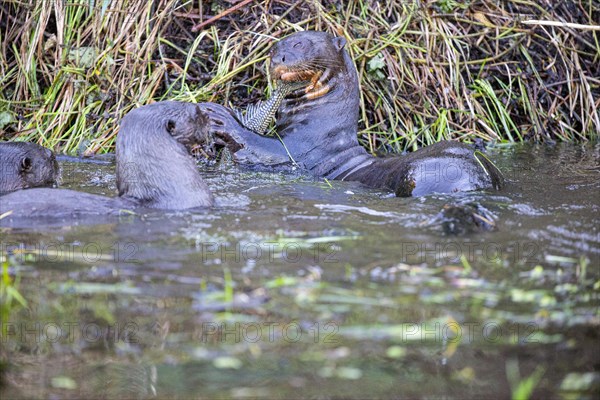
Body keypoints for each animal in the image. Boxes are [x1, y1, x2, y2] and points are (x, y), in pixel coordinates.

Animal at [205, 30, 502, 196]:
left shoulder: (300, 151)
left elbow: (262, 147)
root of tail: (482, 180)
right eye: (272, 49)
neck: (317, 123)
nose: (277, 58)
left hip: (423, 175)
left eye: (300, 44)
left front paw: (221, 117)